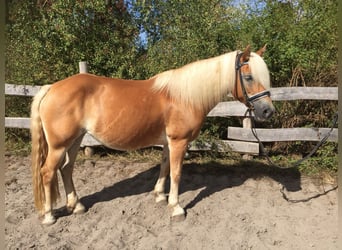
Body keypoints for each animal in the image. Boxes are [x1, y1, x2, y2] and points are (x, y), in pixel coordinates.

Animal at [30, 45, 276, 225]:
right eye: (249, 77)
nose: (268, 111)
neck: (184, 97)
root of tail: (51, 88)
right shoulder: (179, 142)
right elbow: (176, 172)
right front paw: (176, 207)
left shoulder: (168, 143)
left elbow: (164, 166)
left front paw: (159, 195)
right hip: (59, 145)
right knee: (48, 172)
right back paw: (49, 216)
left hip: (75, 140)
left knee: (66, 169)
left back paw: (77, 206)